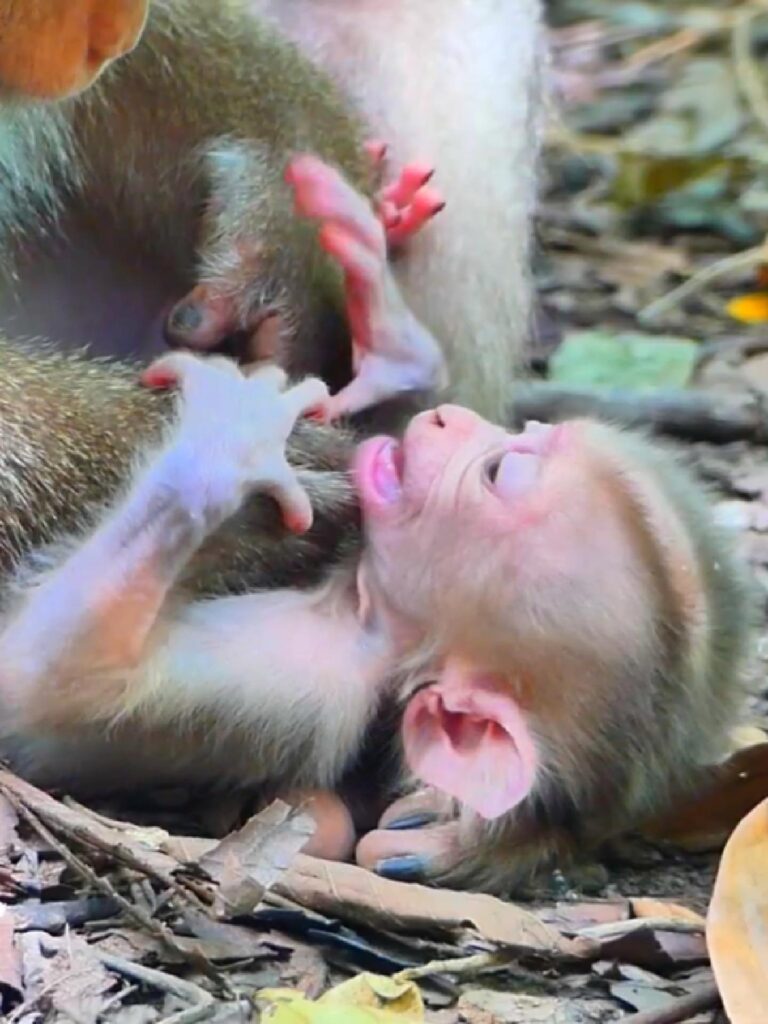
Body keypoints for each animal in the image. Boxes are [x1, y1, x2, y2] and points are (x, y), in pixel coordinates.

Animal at [0, 156, 753, 894]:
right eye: (520, 436)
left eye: (498, 472)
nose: (451, 421)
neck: (362, 596)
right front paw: (391, 328)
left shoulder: (314, 675)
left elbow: (37, 684)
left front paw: (227, 444)